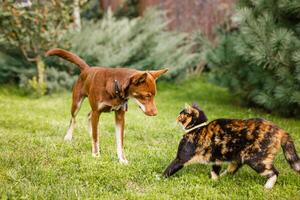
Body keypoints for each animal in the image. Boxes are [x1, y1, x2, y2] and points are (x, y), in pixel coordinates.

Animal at [164, 104, 300, 188]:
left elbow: (169, 169)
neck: (198, 128)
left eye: (181, 114)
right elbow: (214, 171)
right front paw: (214, 181)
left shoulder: (182, 157)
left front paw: (160, 179)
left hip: (256, 160)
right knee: (232, 169)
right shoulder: (216, 158)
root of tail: (281, 131)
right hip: (239, 156)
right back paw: (223, 177)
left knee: (274, 172)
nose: (176, 118)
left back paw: (267, 187)